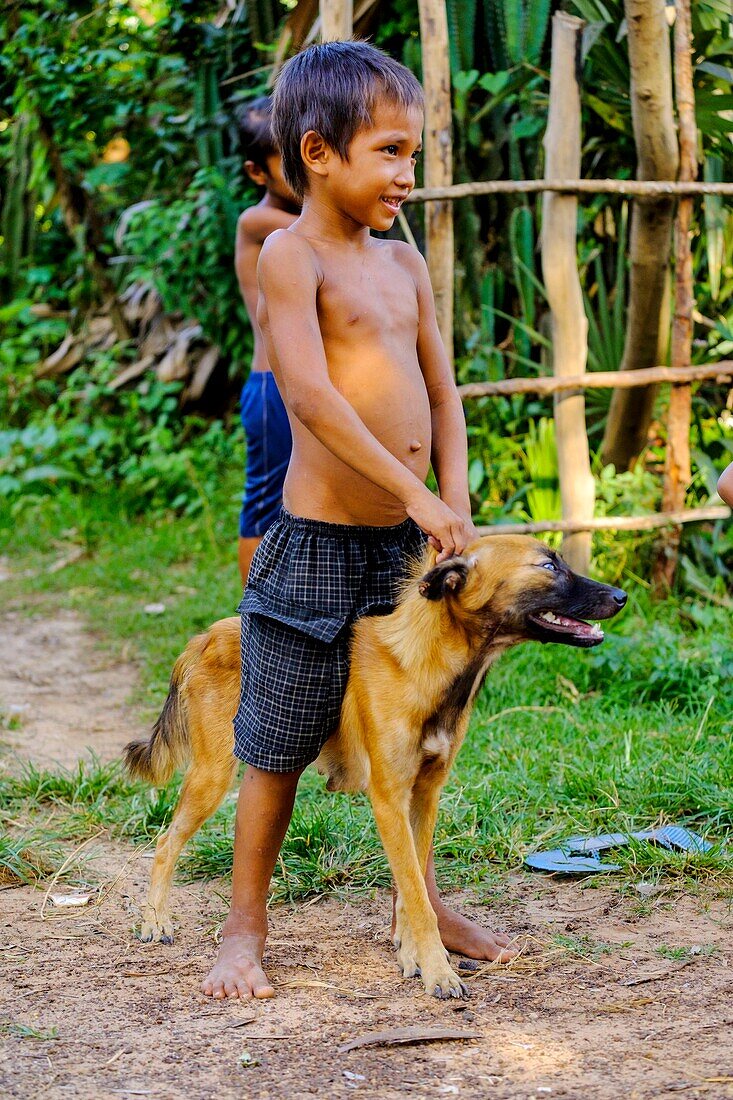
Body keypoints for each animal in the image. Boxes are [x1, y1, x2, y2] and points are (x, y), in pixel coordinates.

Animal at [124, 536, 620, 1003]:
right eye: (548, 565)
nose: (622, 595)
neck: (426, 664)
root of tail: (206, 635)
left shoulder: (424, 795)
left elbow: (412, 887)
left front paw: (412, 955)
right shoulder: (388, 799)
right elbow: (417, 896)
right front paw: (438, 971)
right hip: (215, 774)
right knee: (165, 842)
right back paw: (156, 922)